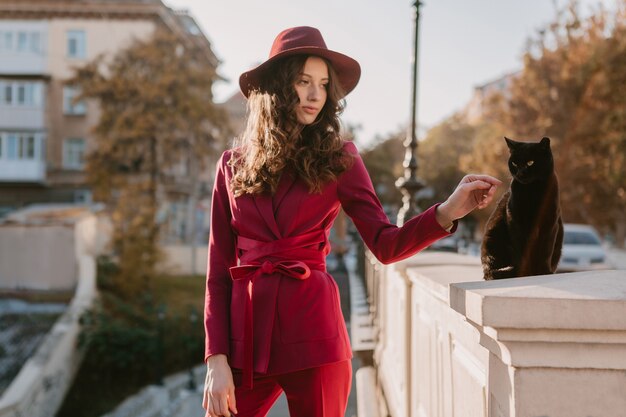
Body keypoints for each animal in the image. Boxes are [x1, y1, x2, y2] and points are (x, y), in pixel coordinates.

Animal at [480, 137, 564, 280]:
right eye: (514, 163)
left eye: (530, 162)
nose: (520, 173)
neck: (531, 190)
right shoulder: (515, 222)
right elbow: (523, 250)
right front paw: (525, 273)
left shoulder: (550, 224)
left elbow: (546, 250)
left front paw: (544, 272)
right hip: (492, 238)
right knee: (489, 271)